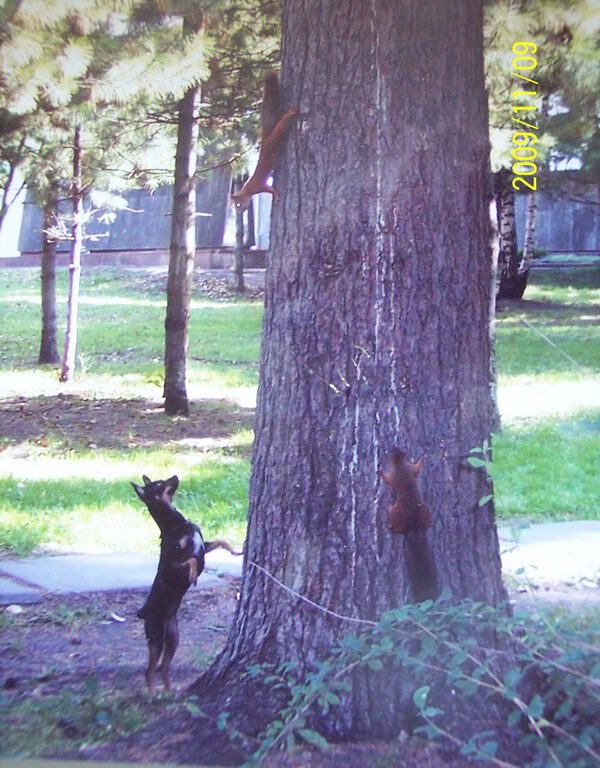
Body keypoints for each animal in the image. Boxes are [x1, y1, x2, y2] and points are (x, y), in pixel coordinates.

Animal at [133, 474, 239, 696]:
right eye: (159, 484)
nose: (175, 475)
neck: (176, 523)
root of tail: (144, 612)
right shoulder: (175, 562)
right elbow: (191, 561)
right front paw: (193, 576)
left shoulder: (203, 546)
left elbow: (220, 541)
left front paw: (236, 551)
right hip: (155, 637)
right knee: (150, 670)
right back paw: (152, 694)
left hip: (173, 638)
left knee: (164, 667)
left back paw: (169, 691)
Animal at [230, 70, 298, 212]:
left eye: (238, 204)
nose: (241, 211)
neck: (247, 188)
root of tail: (266, 138)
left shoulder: (258, 186)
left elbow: (270, 190)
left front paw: (275, 195)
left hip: (276, 136)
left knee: (281, 126)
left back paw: (289, 113)